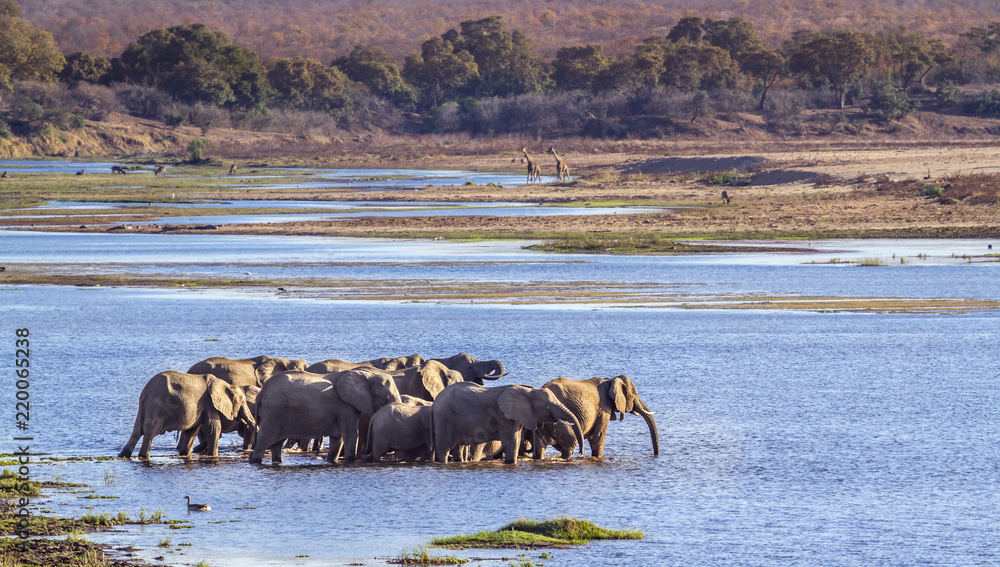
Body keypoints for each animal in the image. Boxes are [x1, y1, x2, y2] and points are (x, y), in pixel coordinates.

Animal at [118, 371, 256, 459]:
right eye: (242, 402)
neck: (225, 384)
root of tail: (146, 391)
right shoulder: (210, 403)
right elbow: (214, 429)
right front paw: (213, 456)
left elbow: (192, 431)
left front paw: (185, 454)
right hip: (157, 407)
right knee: (149, 433)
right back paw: (143, 455)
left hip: (144, 407)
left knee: (137, 431)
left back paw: (123, 455)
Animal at [249, 369, 401, 464]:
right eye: (387, 396)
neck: (366, 375)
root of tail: (261, 392)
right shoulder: (344, 406)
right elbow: (350, 434)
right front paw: (350, 461)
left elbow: (338, 438)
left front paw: (331, 461)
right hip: (273, 413)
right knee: (264, 441)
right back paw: (254, 461)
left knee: (276, 444)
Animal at [431, 382, 584, 464]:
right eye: (547, 406)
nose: (581, 453)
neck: (528, 391)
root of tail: (435, 402)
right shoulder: (505, 417)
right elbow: (512, 442)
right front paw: (512, 462)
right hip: (444, 419)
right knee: (444, 448)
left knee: (458, 448)